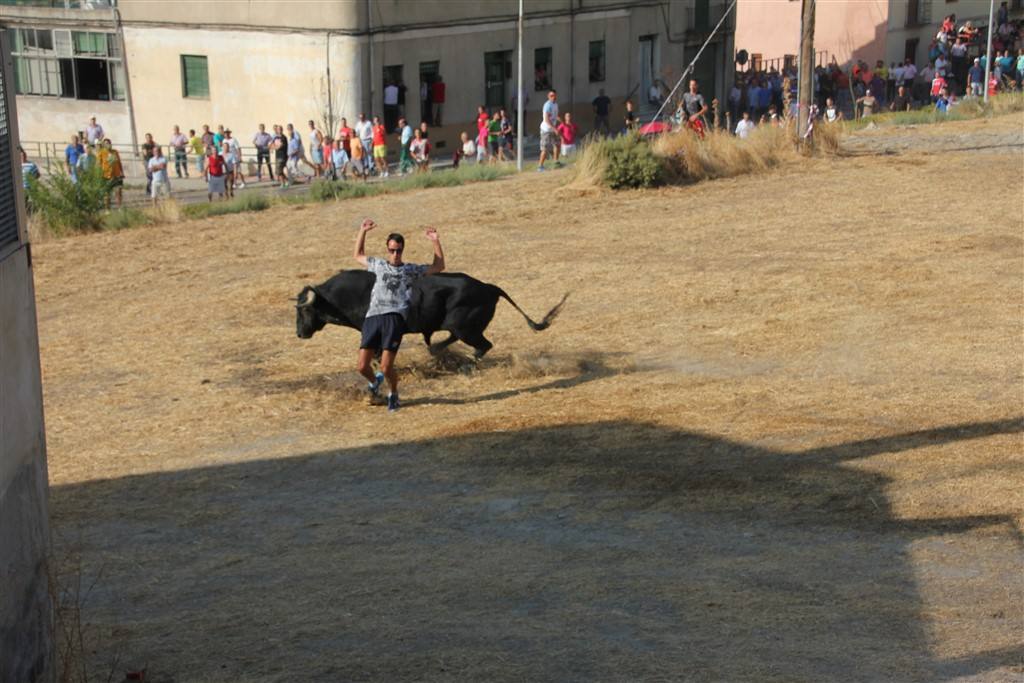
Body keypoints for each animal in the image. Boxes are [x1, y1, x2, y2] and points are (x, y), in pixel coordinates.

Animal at [296, 270, 569, 360]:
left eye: (306, 309)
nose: (299, 333)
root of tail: (489, 287)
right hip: (462, 327)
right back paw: (438, 351)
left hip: (465, 327)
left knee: (483, 345)